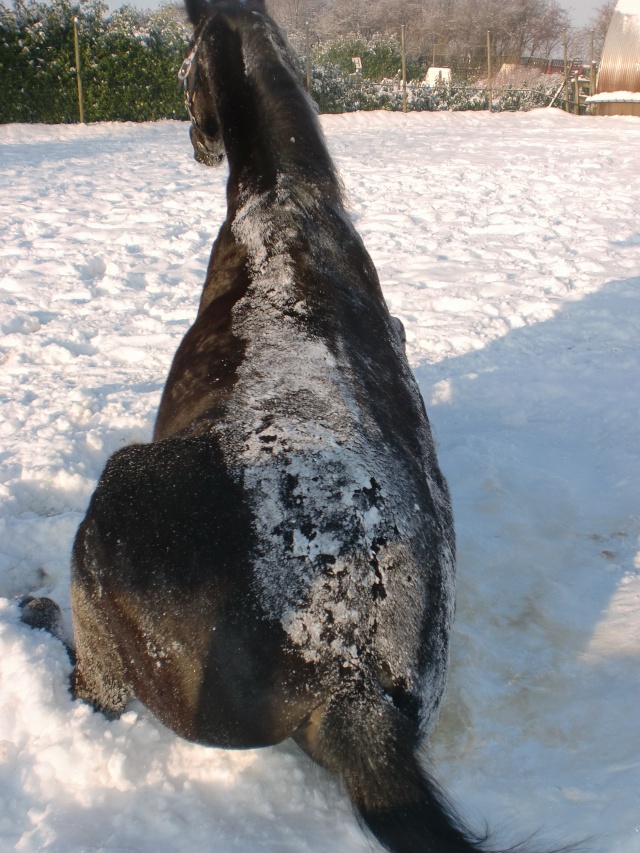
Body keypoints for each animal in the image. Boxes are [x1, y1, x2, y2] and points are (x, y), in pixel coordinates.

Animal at [18, 1, 560, 852]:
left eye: (183, 68)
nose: (197, 144)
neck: (287, 203)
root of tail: (348, 676)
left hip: (110, 516)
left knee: (94, 689)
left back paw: (36, 621)